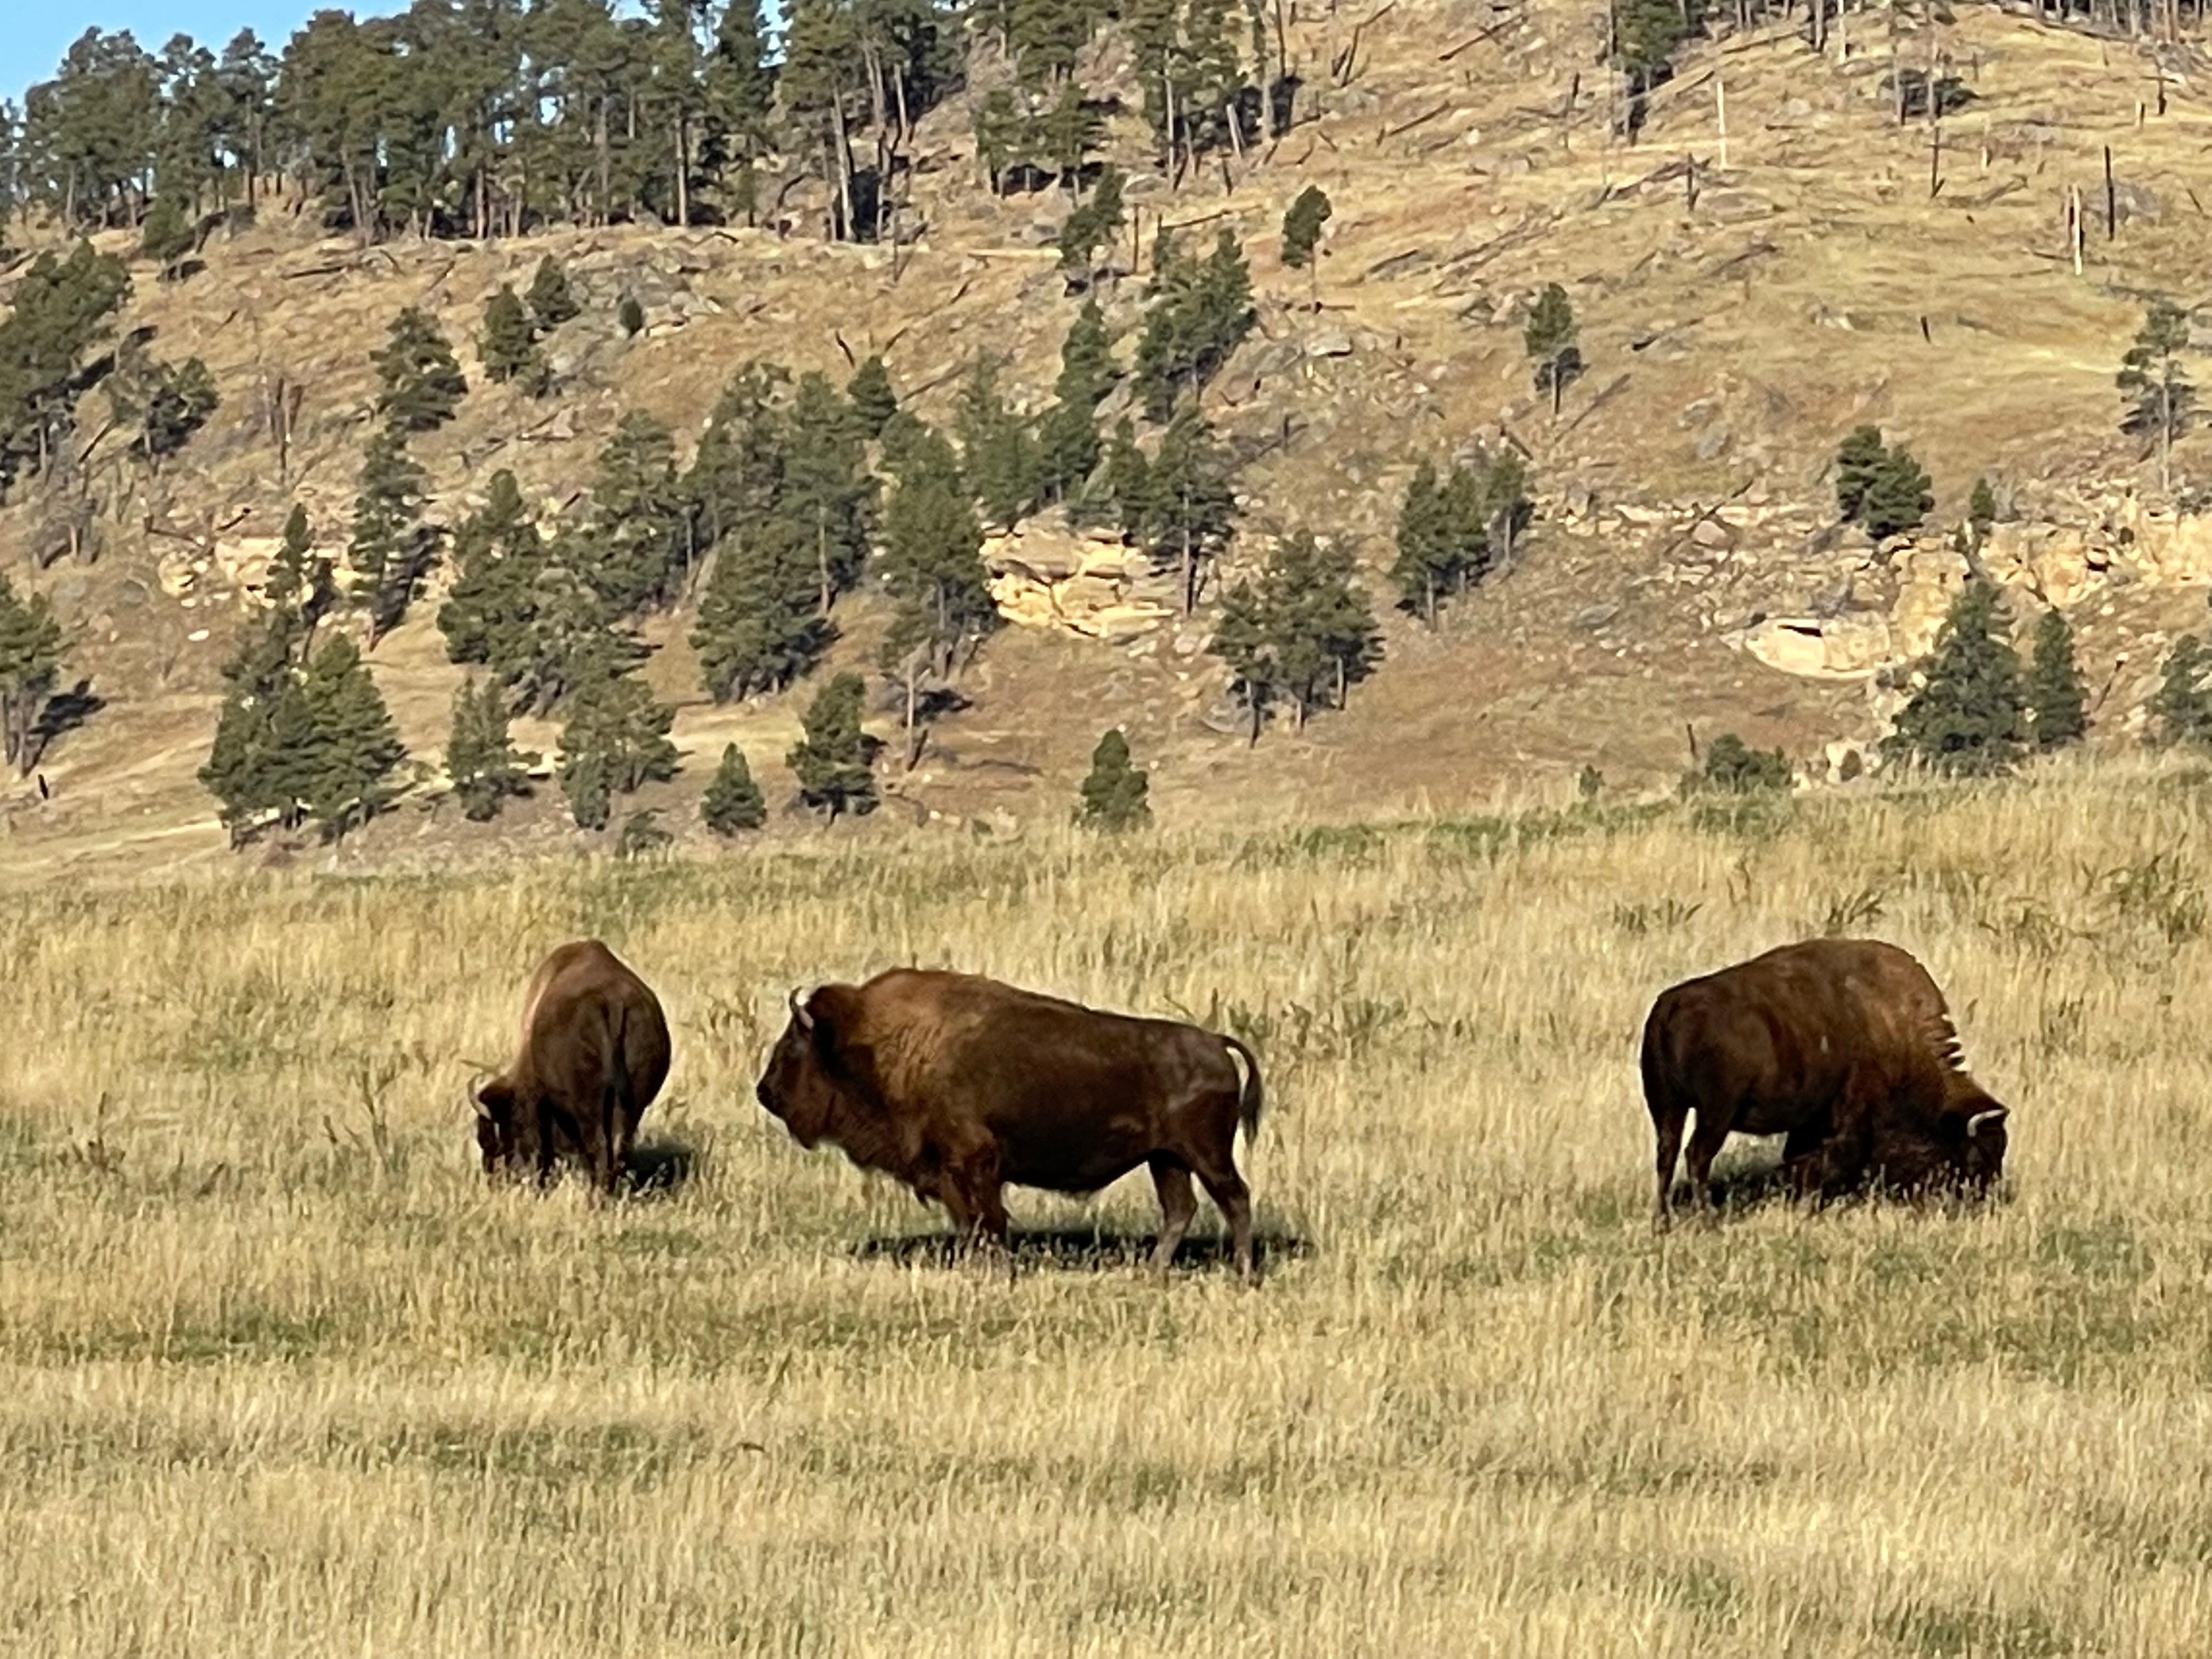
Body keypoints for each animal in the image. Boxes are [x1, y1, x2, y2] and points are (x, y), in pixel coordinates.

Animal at [474, 939, 672, 1194]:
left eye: (494, 1138)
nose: (494, 1179)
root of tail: (614, 1004)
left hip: (589, 1107)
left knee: (598, 1146)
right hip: (633, 1105)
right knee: (619, 1149)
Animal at [755, 970, 1267, 1277]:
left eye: (793, 1047)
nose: (765, 1092)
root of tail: (1216, 1044)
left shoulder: (974, 1165)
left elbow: (988, 1220)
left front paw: (994, 1270)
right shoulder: (952, 1173)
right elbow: (970, 1223)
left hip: (1206, 1155)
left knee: (1236, 1199)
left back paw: (1242, 1272)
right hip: (1166, 1160)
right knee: (1181, 1209)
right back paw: (1153, 1272)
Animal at [1641, 937, 2009, 1222]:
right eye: (1977, 1155)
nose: (1986, 1200)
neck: (1896, 1026)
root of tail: (1672, 1006)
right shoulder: (1852, 1117)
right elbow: (1833, 1160)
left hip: (1668, 1107)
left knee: (1667, 1154)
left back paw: (1663, 1221)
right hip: (1716, 1113)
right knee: (1696, 1155)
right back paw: (1706, 1219)